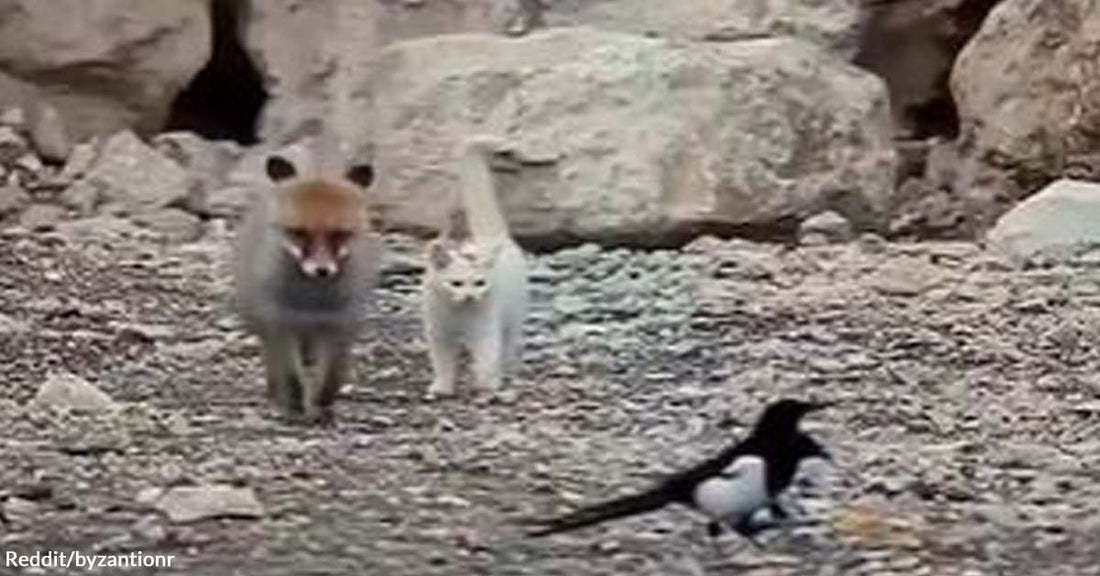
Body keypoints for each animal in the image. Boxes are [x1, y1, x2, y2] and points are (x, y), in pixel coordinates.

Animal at [233, 151, 380, 424]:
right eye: (299, 233)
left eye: (339, 234)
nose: (321, 271)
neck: (311, 301)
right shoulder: (281, 323)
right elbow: (291, 376)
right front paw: (294, 405)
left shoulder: (340, 325)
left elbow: (331, 378)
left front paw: (322, 407)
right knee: (275, 365)